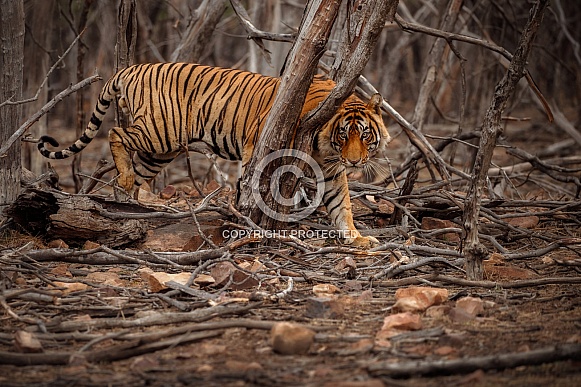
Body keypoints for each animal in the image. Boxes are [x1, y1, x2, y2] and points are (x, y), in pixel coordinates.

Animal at [39, 62, 390, 247]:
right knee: (115, 133)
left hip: (159, 153)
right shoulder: (258, 144)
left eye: (365, 135)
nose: (355, 161)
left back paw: (127, 205)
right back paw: (124, 183)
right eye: (344, 134)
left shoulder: (331, 170)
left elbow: (342, 205)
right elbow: (253, 182)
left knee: (131, 176)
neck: (326, 145)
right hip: (158, 133)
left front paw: (357, 238)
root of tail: (133, 67)